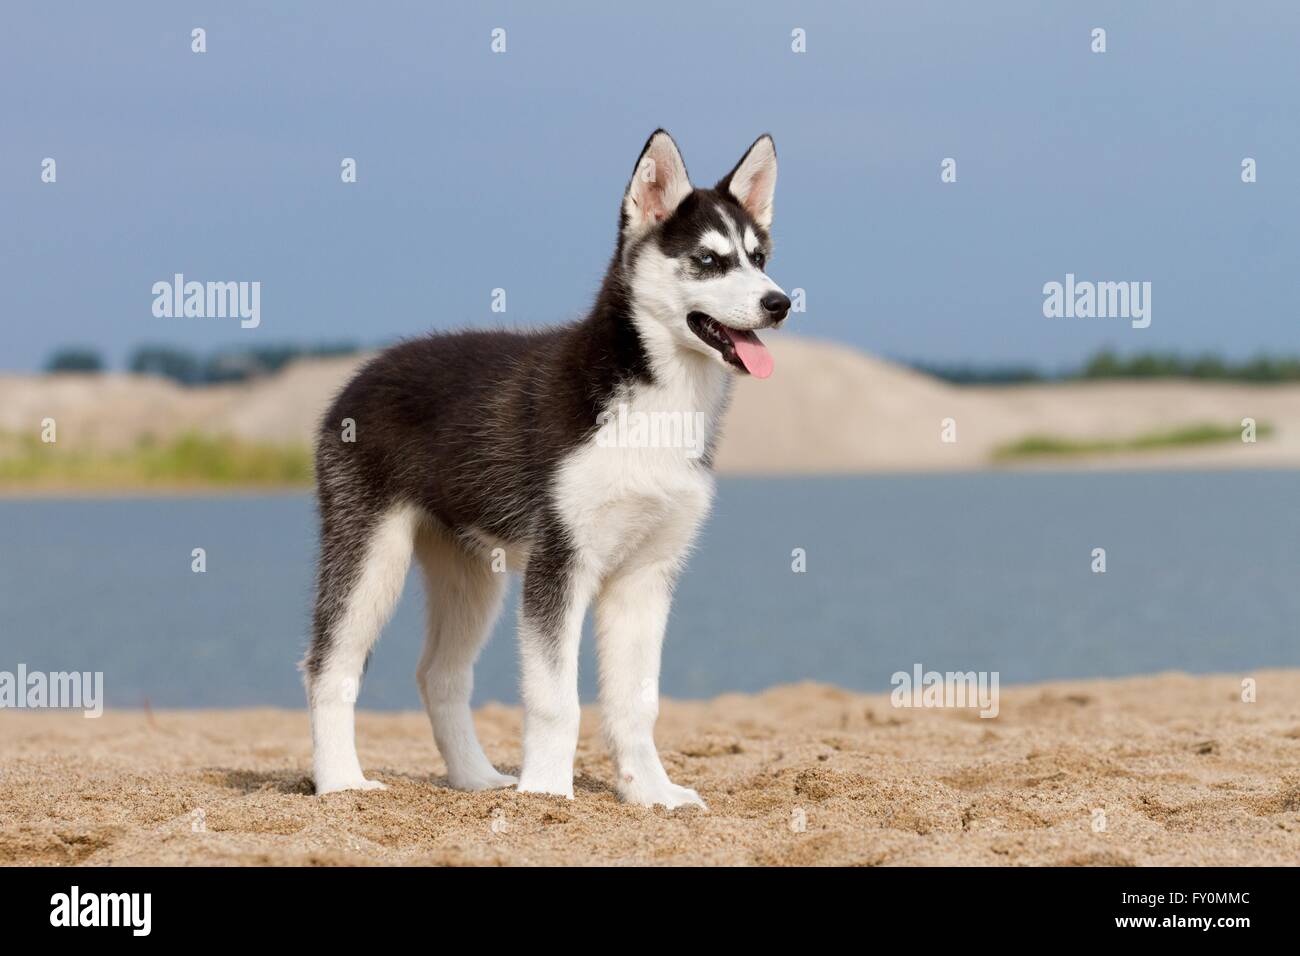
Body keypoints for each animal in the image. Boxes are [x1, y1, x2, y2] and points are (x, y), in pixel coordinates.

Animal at [305, 128, 790, 806]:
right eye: (709, 260)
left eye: (759, 256)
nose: (780, 303)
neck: (655, 404)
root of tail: (365, 370)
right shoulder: (560, 564)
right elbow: (556, 700)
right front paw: (548, 795)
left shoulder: (645, 576)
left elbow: (637, 703)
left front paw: (651, 793)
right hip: (371, 555)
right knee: (330, 666)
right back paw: (341, 782)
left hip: (471, 574)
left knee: (440, 674)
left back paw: (477, 778)